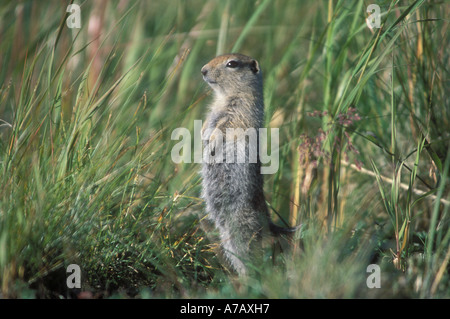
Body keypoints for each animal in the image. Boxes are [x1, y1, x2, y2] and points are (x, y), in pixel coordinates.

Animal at [200, 53, 298, 276]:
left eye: (232, 64)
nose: (202, 70)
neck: (225, 96)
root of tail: (269, 224)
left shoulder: (241, 111)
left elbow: (225, 126)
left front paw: (212, 142)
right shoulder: (214, 111)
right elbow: (208, 122)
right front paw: (203, 138)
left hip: (242, 231)